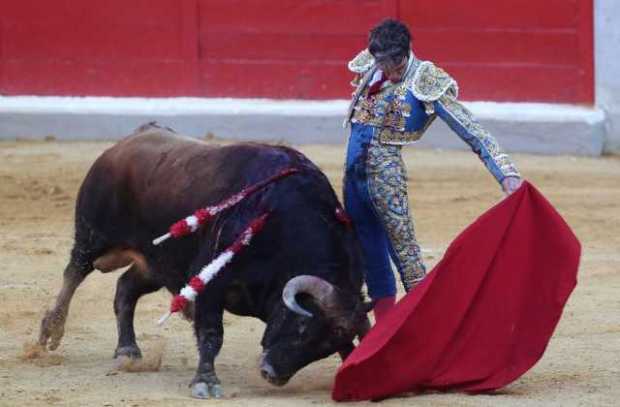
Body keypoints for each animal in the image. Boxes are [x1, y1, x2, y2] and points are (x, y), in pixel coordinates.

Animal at [38, 123, 372, 398]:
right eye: (302, 325)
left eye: (326, 347)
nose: (271, 373)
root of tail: (130, 139)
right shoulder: (212, 281)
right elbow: (212, 333)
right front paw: (205, 382)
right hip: (92, 235)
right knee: (74, 273)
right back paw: (51, 330)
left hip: (156, 264)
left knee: (125, 288)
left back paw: (128, 350)